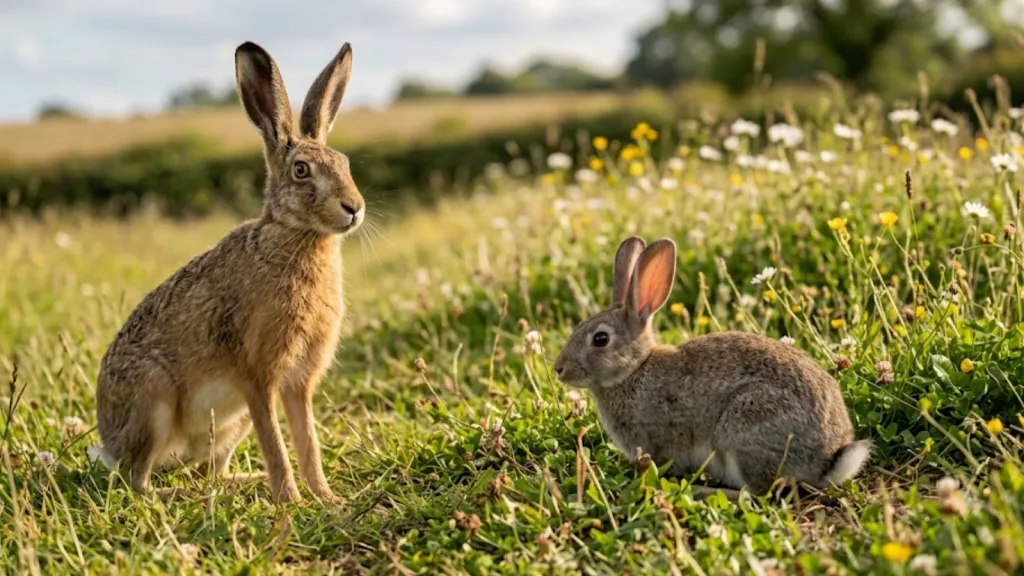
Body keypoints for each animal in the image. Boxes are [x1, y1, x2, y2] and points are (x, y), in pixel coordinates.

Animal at [91, 40, 365, 504]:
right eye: (301, 170)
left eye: (345, 163)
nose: (354, 208)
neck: (294, 235)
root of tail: (109, 443)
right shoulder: (257, 376)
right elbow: (276, 444)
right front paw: (292, 501)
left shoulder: (298, 383)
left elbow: (307, 442)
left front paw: (327, 498)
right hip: (153, 402)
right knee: (137, 483)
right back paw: (181, 495)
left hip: (229, 426)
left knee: (210, 472)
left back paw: (239, 484)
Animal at [552, 236, 871, 498]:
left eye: (600, 339)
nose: (559, 369)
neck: (634, 370)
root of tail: (827, 461)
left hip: (744, 427)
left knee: (757, 493)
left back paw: (702, 490)